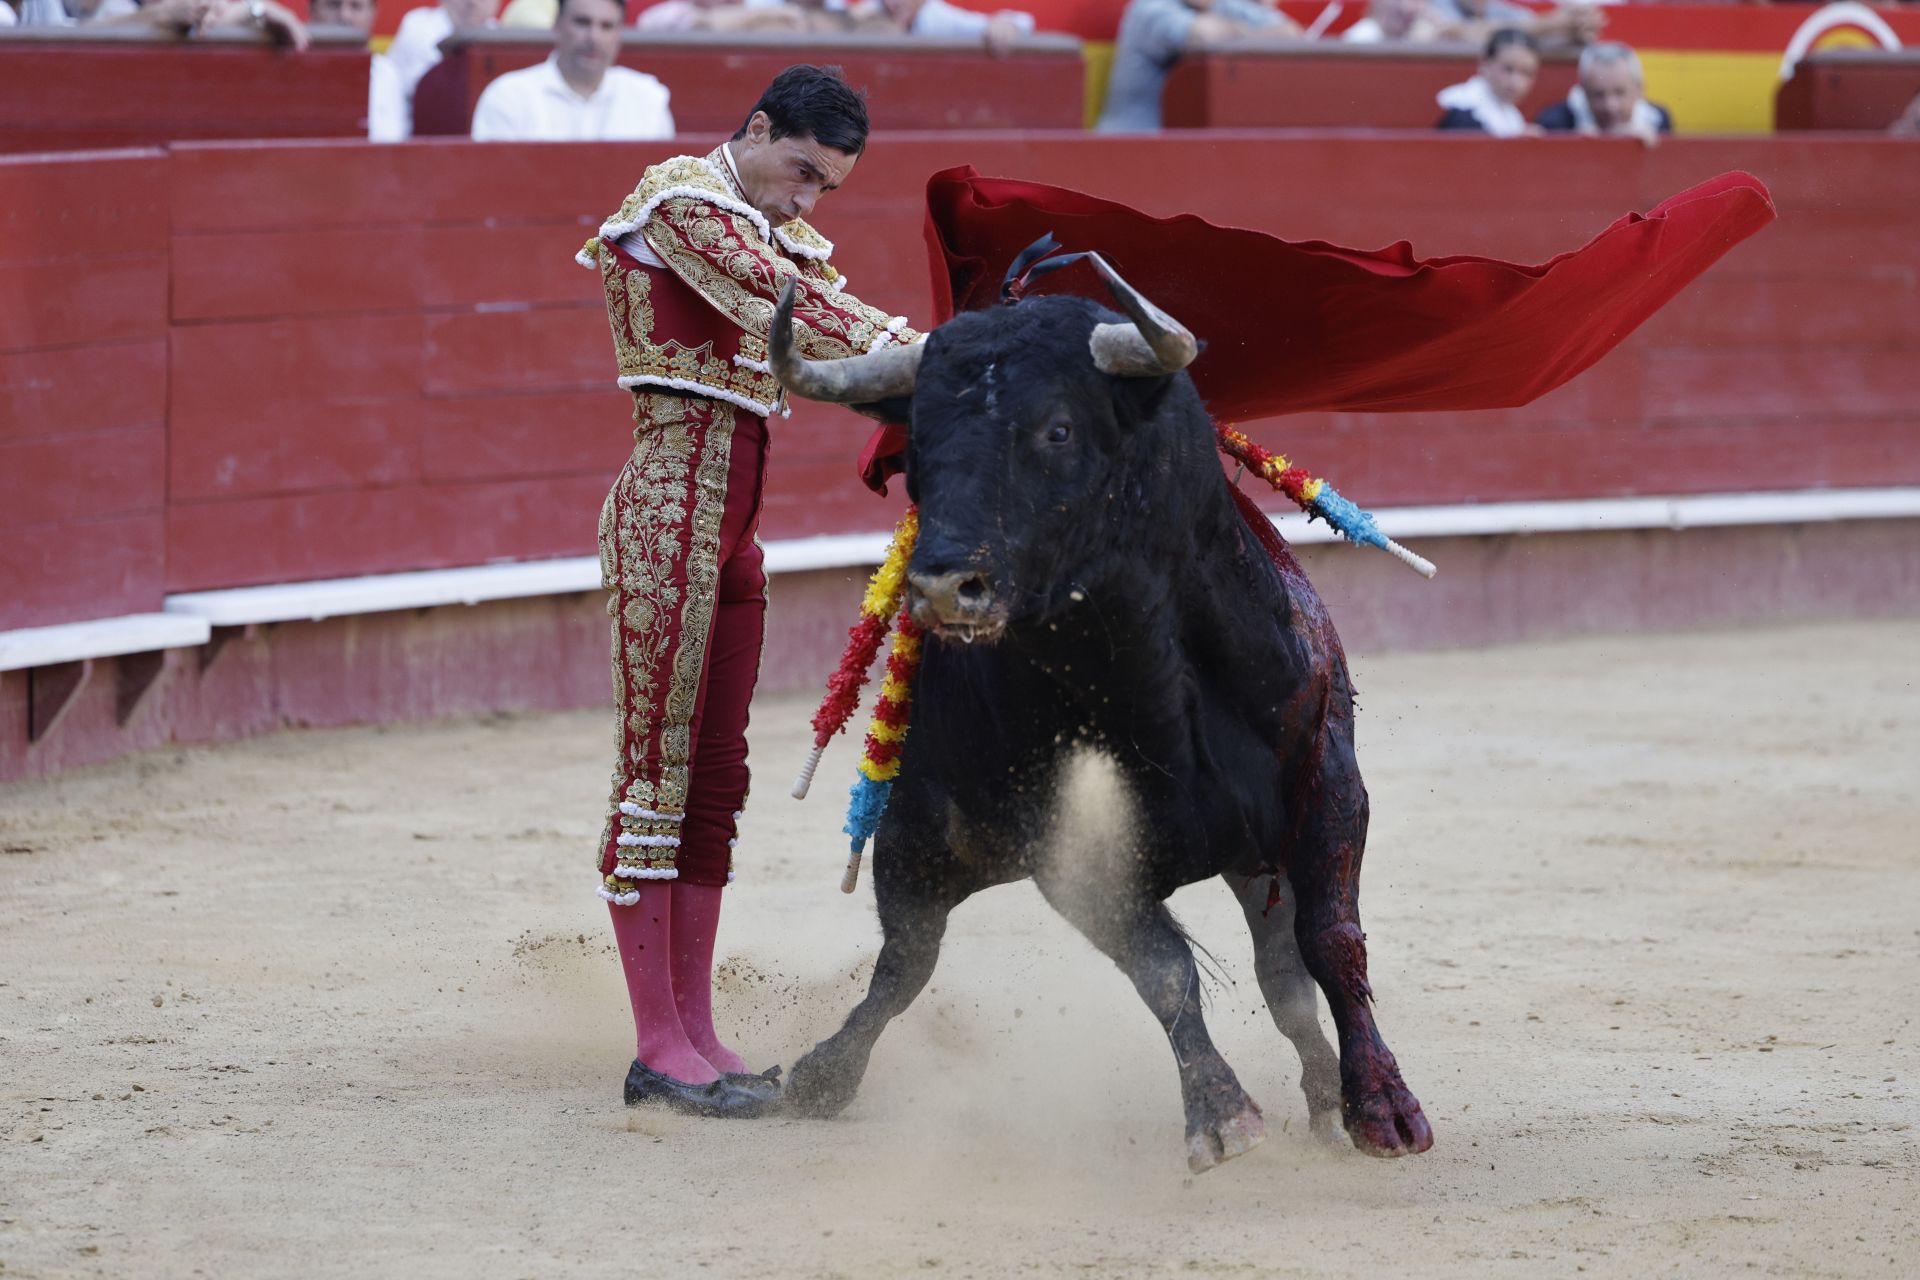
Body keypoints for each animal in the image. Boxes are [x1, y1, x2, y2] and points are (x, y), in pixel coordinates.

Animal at [764, 278, 1428, 1174]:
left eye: (1058, 428)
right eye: (919, 447)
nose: (940, 586)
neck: (1150, 682)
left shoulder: (1329, 791)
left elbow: (1331, 940)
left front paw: (1383, 1108)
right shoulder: (1070, 851)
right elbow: (1164, 968)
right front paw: (1221, 1115)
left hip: (1250, 855)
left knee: (1283, 976)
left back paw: (1326, 1095)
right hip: (918, 840)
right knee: (904, 964)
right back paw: (821, 1075)